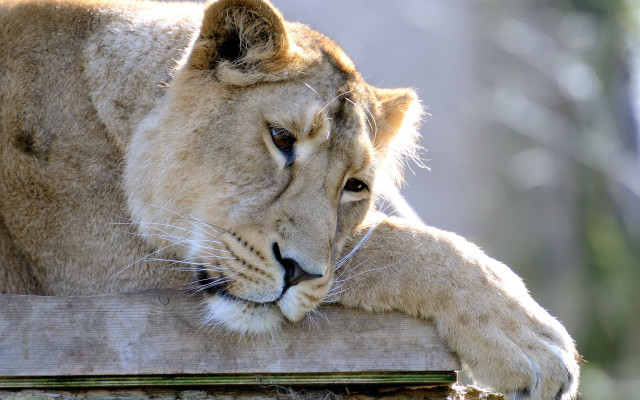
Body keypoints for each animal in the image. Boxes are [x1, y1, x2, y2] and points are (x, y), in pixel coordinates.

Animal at [0, 0, 579, 398]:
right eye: (281, 139)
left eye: (355, 186)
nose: (298, 272)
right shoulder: (103, 279)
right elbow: (384, 243)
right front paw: (530, 338)